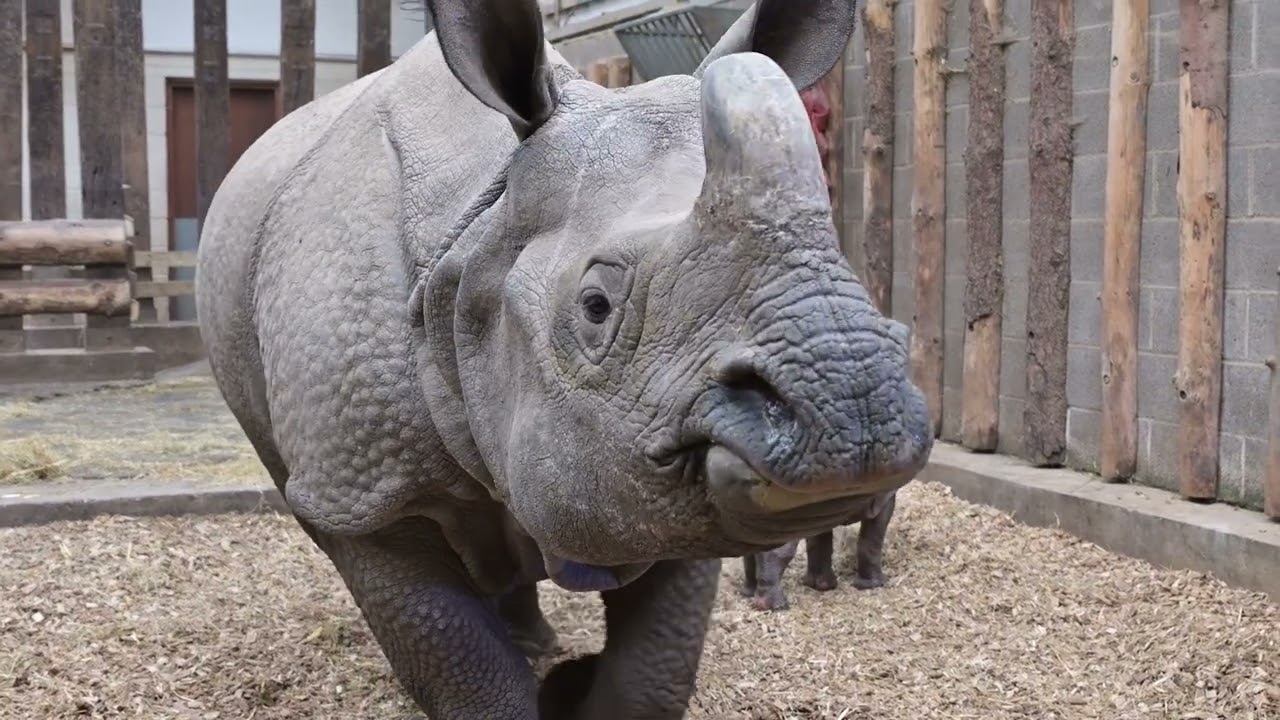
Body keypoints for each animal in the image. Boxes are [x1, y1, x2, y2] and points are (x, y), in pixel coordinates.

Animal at [741, 490, 897, 611]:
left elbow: (819, 540)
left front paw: (820, 585)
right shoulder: (885, 496)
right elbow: (873, 537)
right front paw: (876, 584)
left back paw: (748, 593)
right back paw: (777, 607)